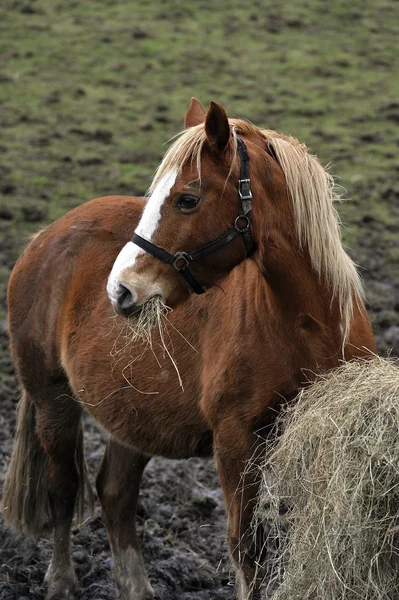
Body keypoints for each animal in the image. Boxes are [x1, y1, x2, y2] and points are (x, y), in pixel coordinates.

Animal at [1, 96, 376, 596]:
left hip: (134, 413)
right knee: (62, 487)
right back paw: (61, 580)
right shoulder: (236, 441)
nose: (119, 290)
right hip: (52, 399)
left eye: (187, 199)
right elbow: (248, 549)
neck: (307, 322)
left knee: (115, 493)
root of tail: (43, 237)